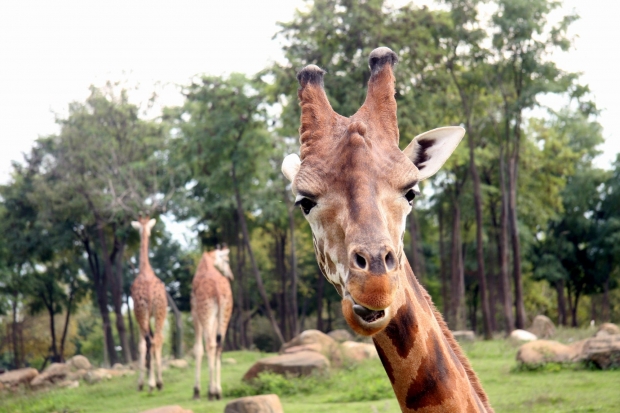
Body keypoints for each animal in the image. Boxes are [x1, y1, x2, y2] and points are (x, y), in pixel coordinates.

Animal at [191, 245, 234, 400]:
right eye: (227, 260)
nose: (231, 276)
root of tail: (218, 291)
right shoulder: (214, 317)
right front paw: (214, 388)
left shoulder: (195, 312)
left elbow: (198, 349)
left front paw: (197, 391)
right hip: (225, 312)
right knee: (219, 345)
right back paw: (218, 392)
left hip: (205, 312)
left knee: (210, 344)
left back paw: (210, 393)